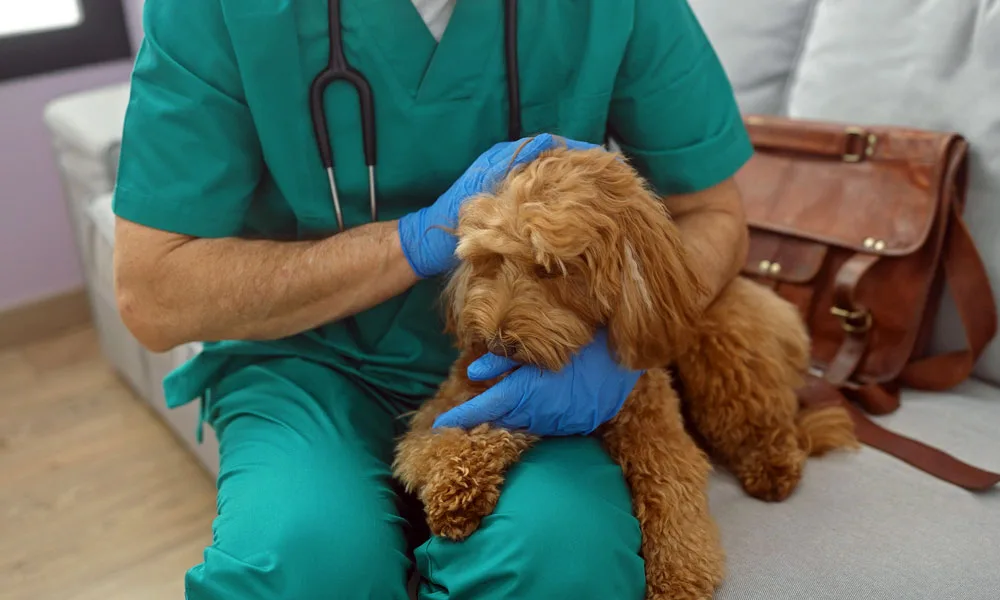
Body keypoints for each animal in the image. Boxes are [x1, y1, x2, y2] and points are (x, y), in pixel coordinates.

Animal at [394, 143, 856, 596]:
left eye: (552, 269)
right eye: (489, 260)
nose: (497, 342)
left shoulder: (655, 429)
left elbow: (674, 490)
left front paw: (678, 579)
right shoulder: (454, 408)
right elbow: (465, 433)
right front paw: (457, 490)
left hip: (724, 354)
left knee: (766, 420)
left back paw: (773, 469)